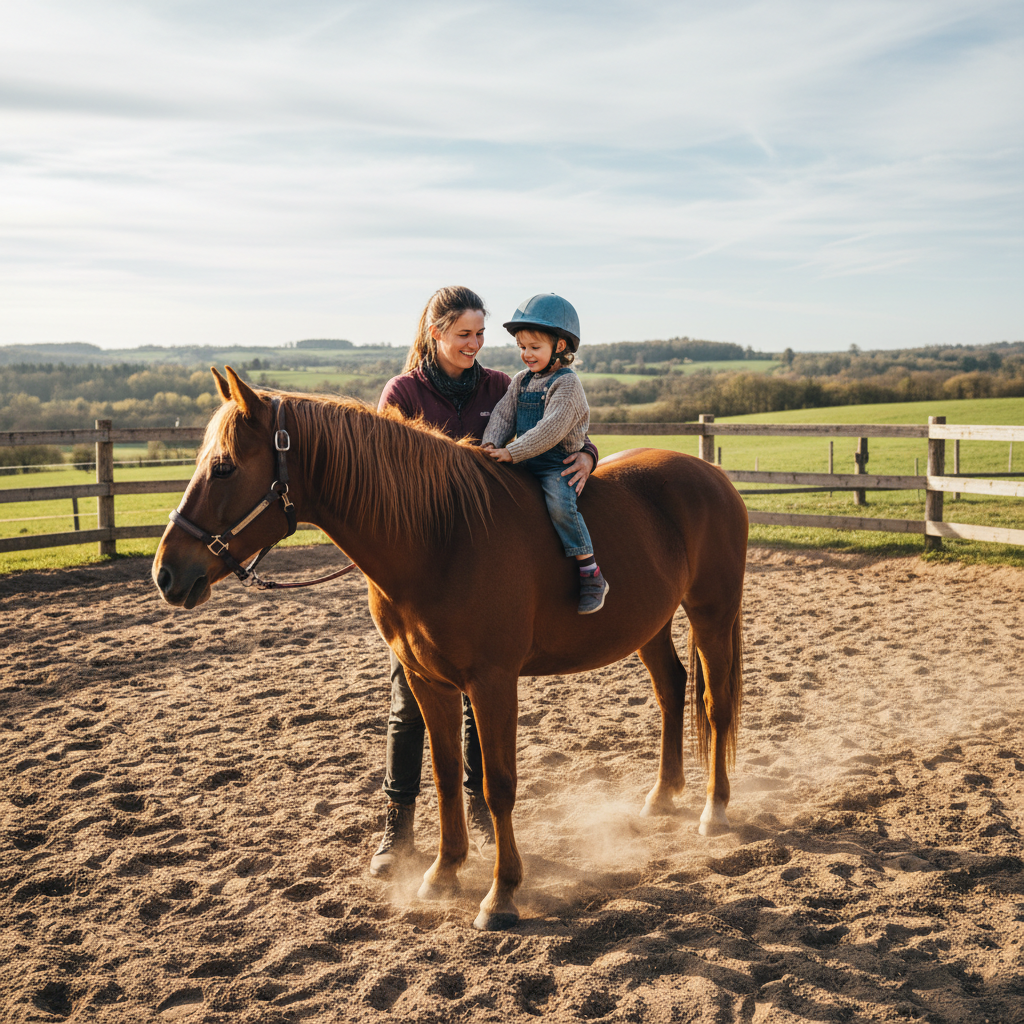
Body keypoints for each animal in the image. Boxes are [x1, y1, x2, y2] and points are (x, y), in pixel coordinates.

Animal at [153, 367, 748, 931]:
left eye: (224, 467)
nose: (165, 573)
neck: (441, 536)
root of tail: (713, 475)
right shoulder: (427, 680)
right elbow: (443, 776)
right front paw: (443, 873)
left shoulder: (493, 683)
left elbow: (498, 784)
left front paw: (501, 894)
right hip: (651, 624)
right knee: (672, 691)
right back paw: (663, 795)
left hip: (712, 613)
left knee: (716, 706)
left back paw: (714, 811)